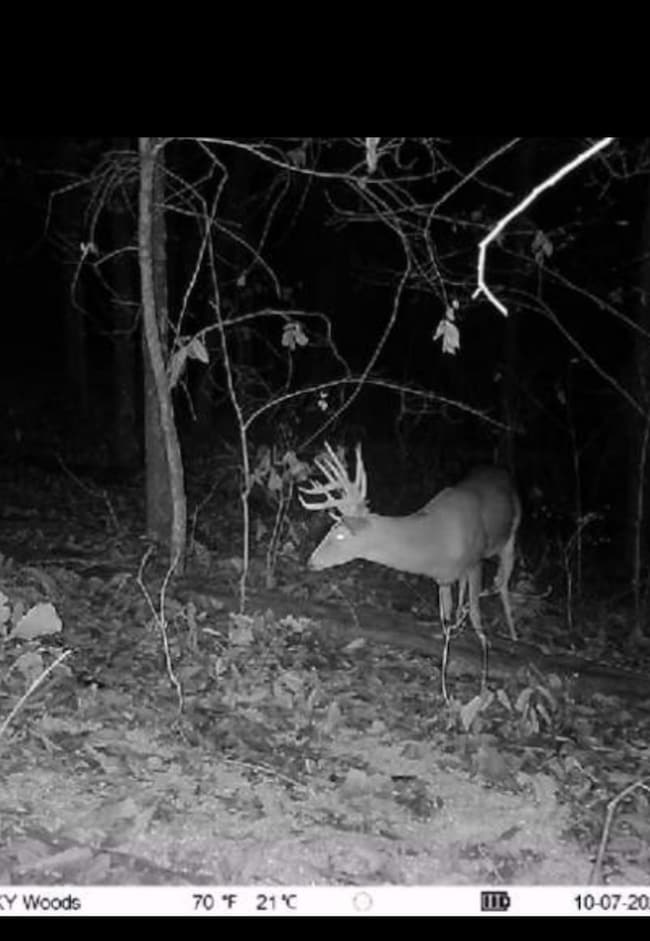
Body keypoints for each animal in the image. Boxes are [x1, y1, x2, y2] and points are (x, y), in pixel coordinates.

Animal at [299, 443, 521, 681]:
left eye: (340, 535)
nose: (310, 562)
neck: (436, 541)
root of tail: (500, 469)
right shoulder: (443, 580)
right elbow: (445, 620)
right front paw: (444, 665)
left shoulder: (476, 561)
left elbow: (477, 616)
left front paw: (484, 663)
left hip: (511, 535)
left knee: (502, 583)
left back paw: (513, 635)